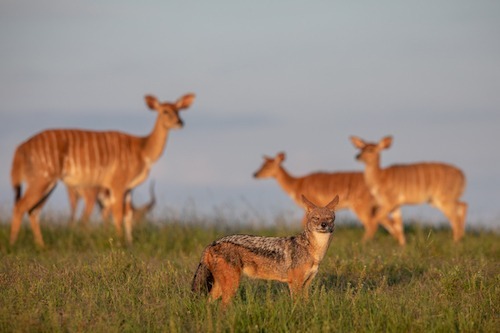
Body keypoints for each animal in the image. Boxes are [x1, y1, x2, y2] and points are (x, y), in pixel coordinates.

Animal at [10, 92, 193, 245]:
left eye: (179, 110)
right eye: (165, 111)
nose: (180, 122)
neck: (142, 149)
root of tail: (20, 148)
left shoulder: (128, 189)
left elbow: (127, 216)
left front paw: (130, 244)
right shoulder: (117, 185)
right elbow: (118, 215)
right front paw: (120, 243)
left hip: (48, 183)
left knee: (33, 210)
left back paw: (41, 246)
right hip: (43, 179)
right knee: (21, 206)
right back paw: (13, 245)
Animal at [254, 152, 402, 240]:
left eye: (268, 166)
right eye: (262, 164)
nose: (255, 174)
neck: (296, 185)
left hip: (361, 205)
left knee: (372, 224)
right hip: (374, 206)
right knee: (389, 222)